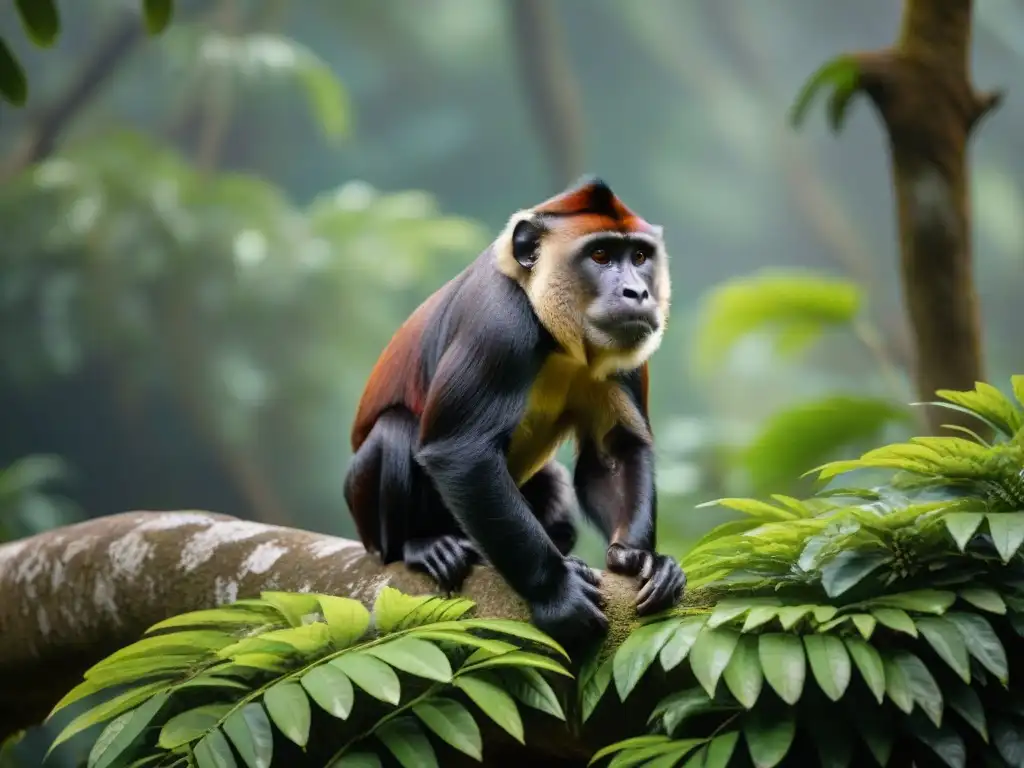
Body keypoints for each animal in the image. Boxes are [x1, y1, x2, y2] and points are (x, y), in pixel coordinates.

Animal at [344, 177, 688, 647]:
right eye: (600, 255)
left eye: (639, 256)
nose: (638, 292)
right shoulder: (500, 325)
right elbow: (461, 452)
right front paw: (559, 595)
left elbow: (614, 452)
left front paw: (637, 558)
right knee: (396, 430)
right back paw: (422, 545)